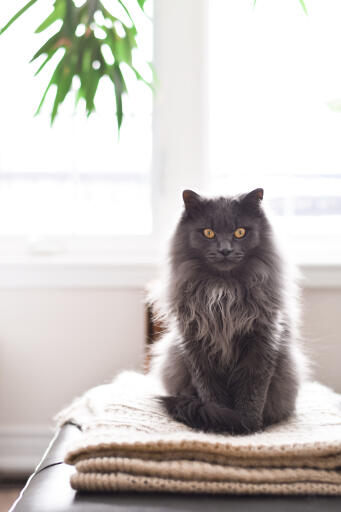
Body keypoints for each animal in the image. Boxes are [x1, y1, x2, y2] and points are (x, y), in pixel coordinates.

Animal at [151, 188, 306, 432]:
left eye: (240, 232)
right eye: (208, 233)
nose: (225, 250)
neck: (223, 292)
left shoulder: (262, 342)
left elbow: (253, 392)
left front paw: (249, 427)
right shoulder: (196, 344)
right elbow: (210, 391)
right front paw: (223, 421)